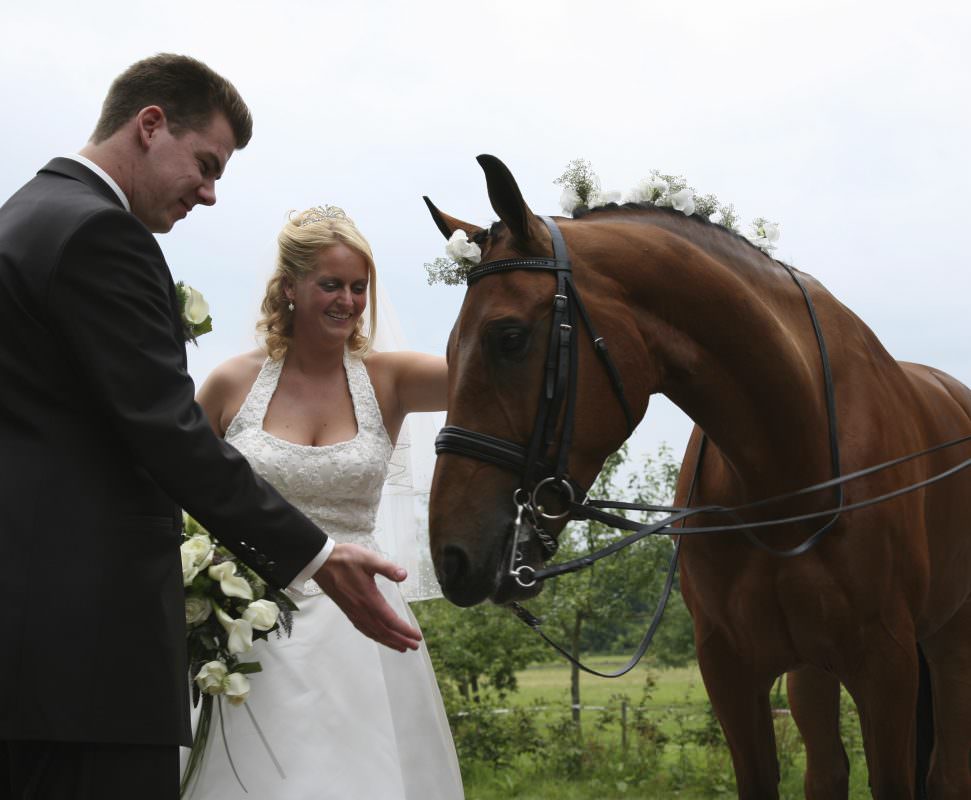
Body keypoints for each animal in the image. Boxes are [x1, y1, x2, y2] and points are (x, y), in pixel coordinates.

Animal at [430, 153, 971, 796]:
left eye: (509, 338)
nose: (451, 558)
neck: (790, 475)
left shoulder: (886, 667)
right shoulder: (730, 671)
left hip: (949, 643)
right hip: (814, 672)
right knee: (827, 769)